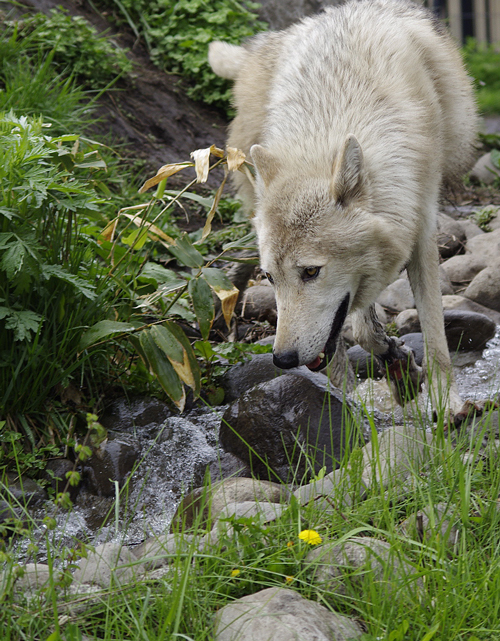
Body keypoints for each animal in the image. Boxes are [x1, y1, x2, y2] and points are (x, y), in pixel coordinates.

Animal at [207, 0, 476, 418]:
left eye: (310, 272)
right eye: (270, 278)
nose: (283, 360)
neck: (332, 121)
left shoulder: (420, 226)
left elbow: (433, 329)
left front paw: (446, 400)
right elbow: (358, 333)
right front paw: (385, 375)